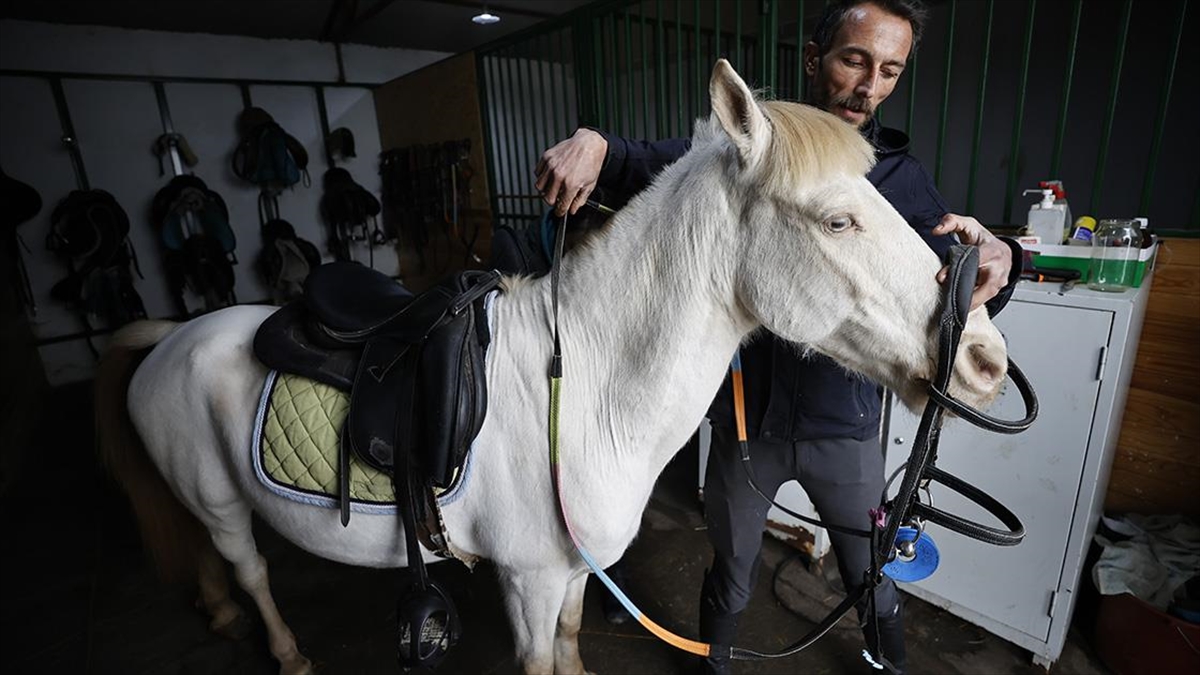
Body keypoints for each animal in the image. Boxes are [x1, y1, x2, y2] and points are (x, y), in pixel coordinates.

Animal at [95, 60, 1008, 675]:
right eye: (837, 220)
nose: (983, 357)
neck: (588, 387)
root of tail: (172, 337)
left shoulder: (571, 574)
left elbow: (572, 640)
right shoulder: (528, 582)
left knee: (212, 560)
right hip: (221, 502)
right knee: (247, 567)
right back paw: (284, 649)